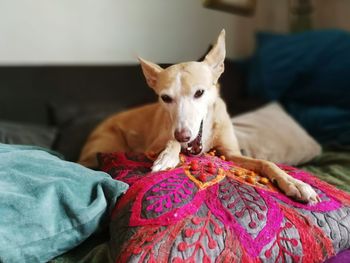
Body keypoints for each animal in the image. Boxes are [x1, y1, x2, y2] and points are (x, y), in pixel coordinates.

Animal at [78, 30, 320, 204]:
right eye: (165, 98)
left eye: (199, 93)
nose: (183, 136)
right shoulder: (155, 143)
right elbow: (169, 143)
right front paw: (168, 156)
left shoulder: (231, 154)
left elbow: (265, 162)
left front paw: (294, 183)